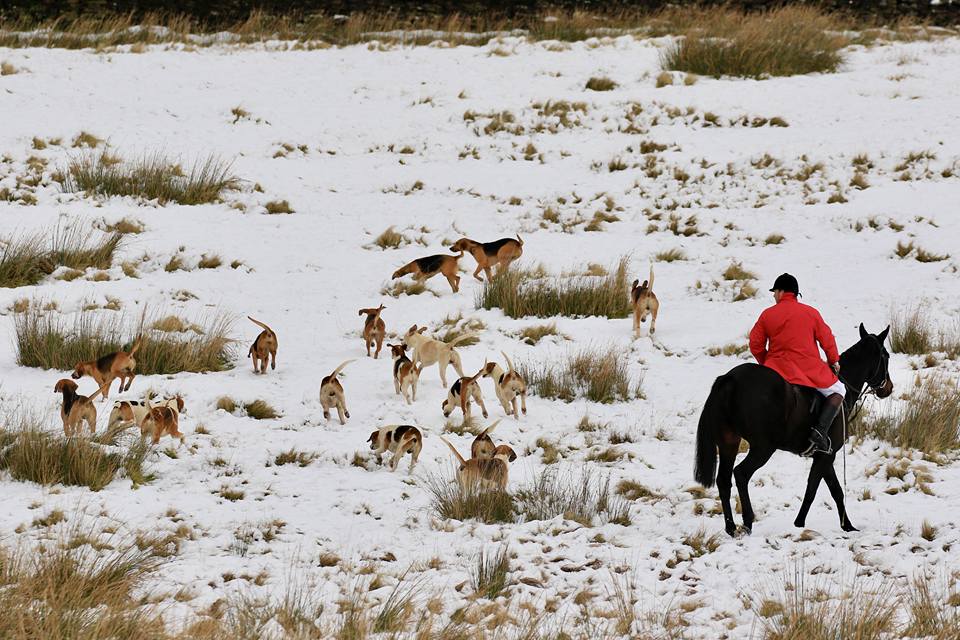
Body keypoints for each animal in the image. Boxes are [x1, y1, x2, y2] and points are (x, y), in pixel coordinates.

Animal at [692, 322, 896, 536]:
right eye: (886, 356)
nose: (888, 388)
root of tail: (729, 379)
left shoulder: (823, 456)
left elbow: (836, 491)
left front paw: (847, 526)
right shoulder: (826, 456)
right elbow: (813, 490)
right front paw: (800, 523)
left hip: (729, 441)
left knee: (724, 480)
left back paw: (731, 527)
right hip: (763, 447)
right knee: (741, 474)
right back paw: (747, 521)